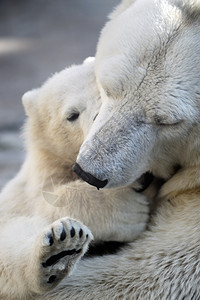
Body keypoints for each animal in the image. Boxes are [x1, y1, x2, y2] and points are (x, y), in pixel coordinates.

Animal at [0, 57, 150, 298]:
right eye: (72, 115)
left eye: (105, 93)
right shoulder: (39, 179)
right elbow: (46, 202)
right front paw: (130, 209)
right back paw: (58, 252)